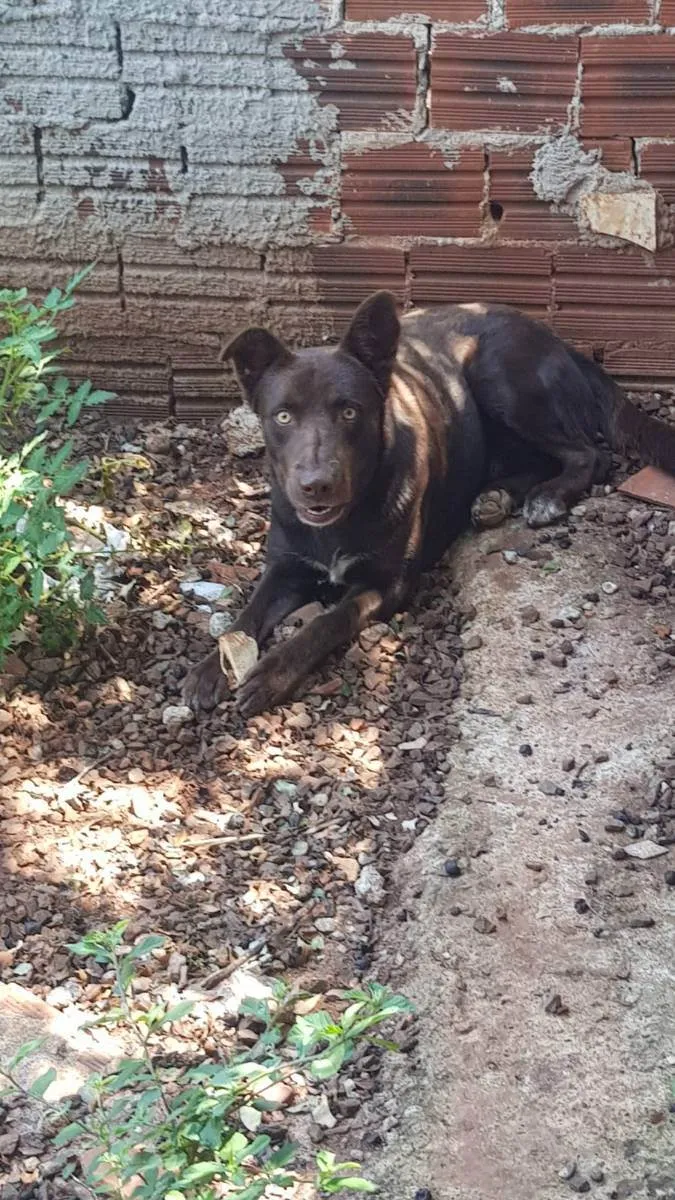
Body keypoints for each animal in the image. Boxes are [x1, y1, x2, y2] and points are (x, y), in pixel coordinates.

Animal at [182, 290, 672, 720]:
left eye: (349, 412)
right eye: (283, 416)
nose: (316, 485)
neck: (341, 521)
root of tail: (557, 339)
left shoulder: (388, 584)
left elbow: (327, 622)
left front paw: (272, 674)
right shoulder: (284, 569)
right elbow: (245, 616)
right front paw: (209, 669)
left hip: (497, 377)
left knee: (590, 454)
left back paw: (548, 497)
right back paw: (495, 497)